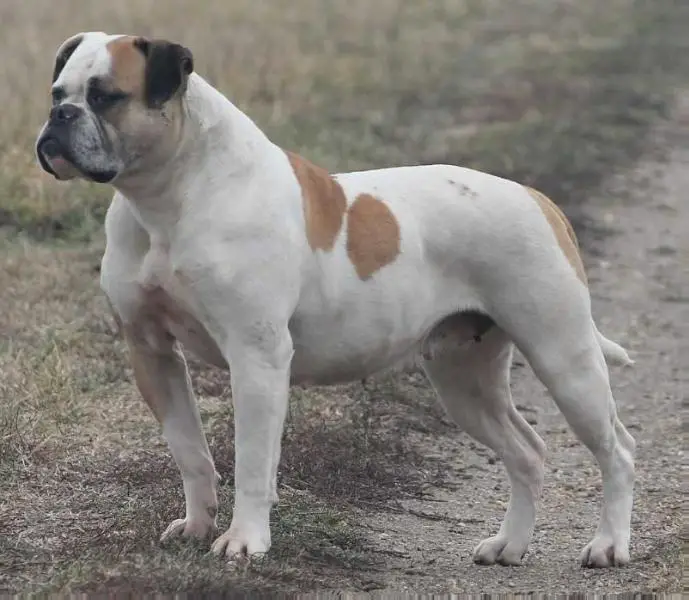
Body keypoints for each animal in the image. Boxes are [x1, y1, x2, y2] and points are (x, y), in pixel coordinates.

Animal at [32, 31, 636, 568]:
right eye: (58, 93)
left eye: (106, 96)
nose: (59, 119)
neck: (168, 195)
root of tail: (535, 198)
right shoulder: (151, 350)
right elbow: (190, 449)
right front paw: (199, 525)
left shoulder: (256, 357)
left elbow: (253, 460)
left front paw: (244, 541)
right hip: (465, 380)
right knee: (527, 453)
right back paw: (509, 546)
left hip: (564, 358)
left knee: (617, 451)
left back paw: (609, 545)